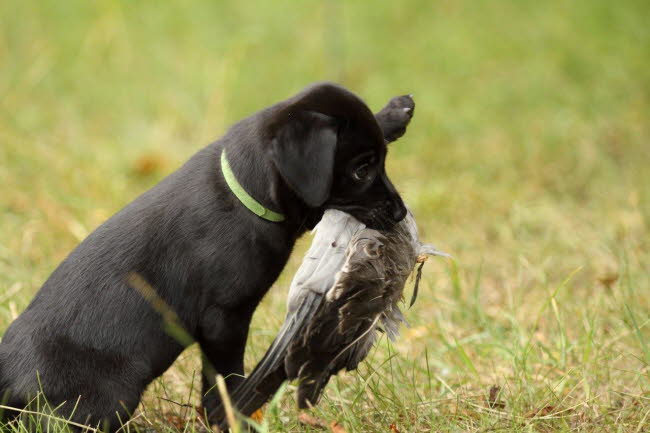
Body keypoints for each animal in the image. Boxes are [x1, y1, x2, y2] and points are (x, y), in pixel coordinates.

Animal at [0, 82, 412, 428]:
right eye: (360, 170)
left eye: (380, 160)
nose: (400, 213)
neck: (245, 193)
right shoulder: (224, 318)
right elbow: (225, 380)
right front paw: (232, 420)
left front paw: (393, 112)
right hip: (105, 399)